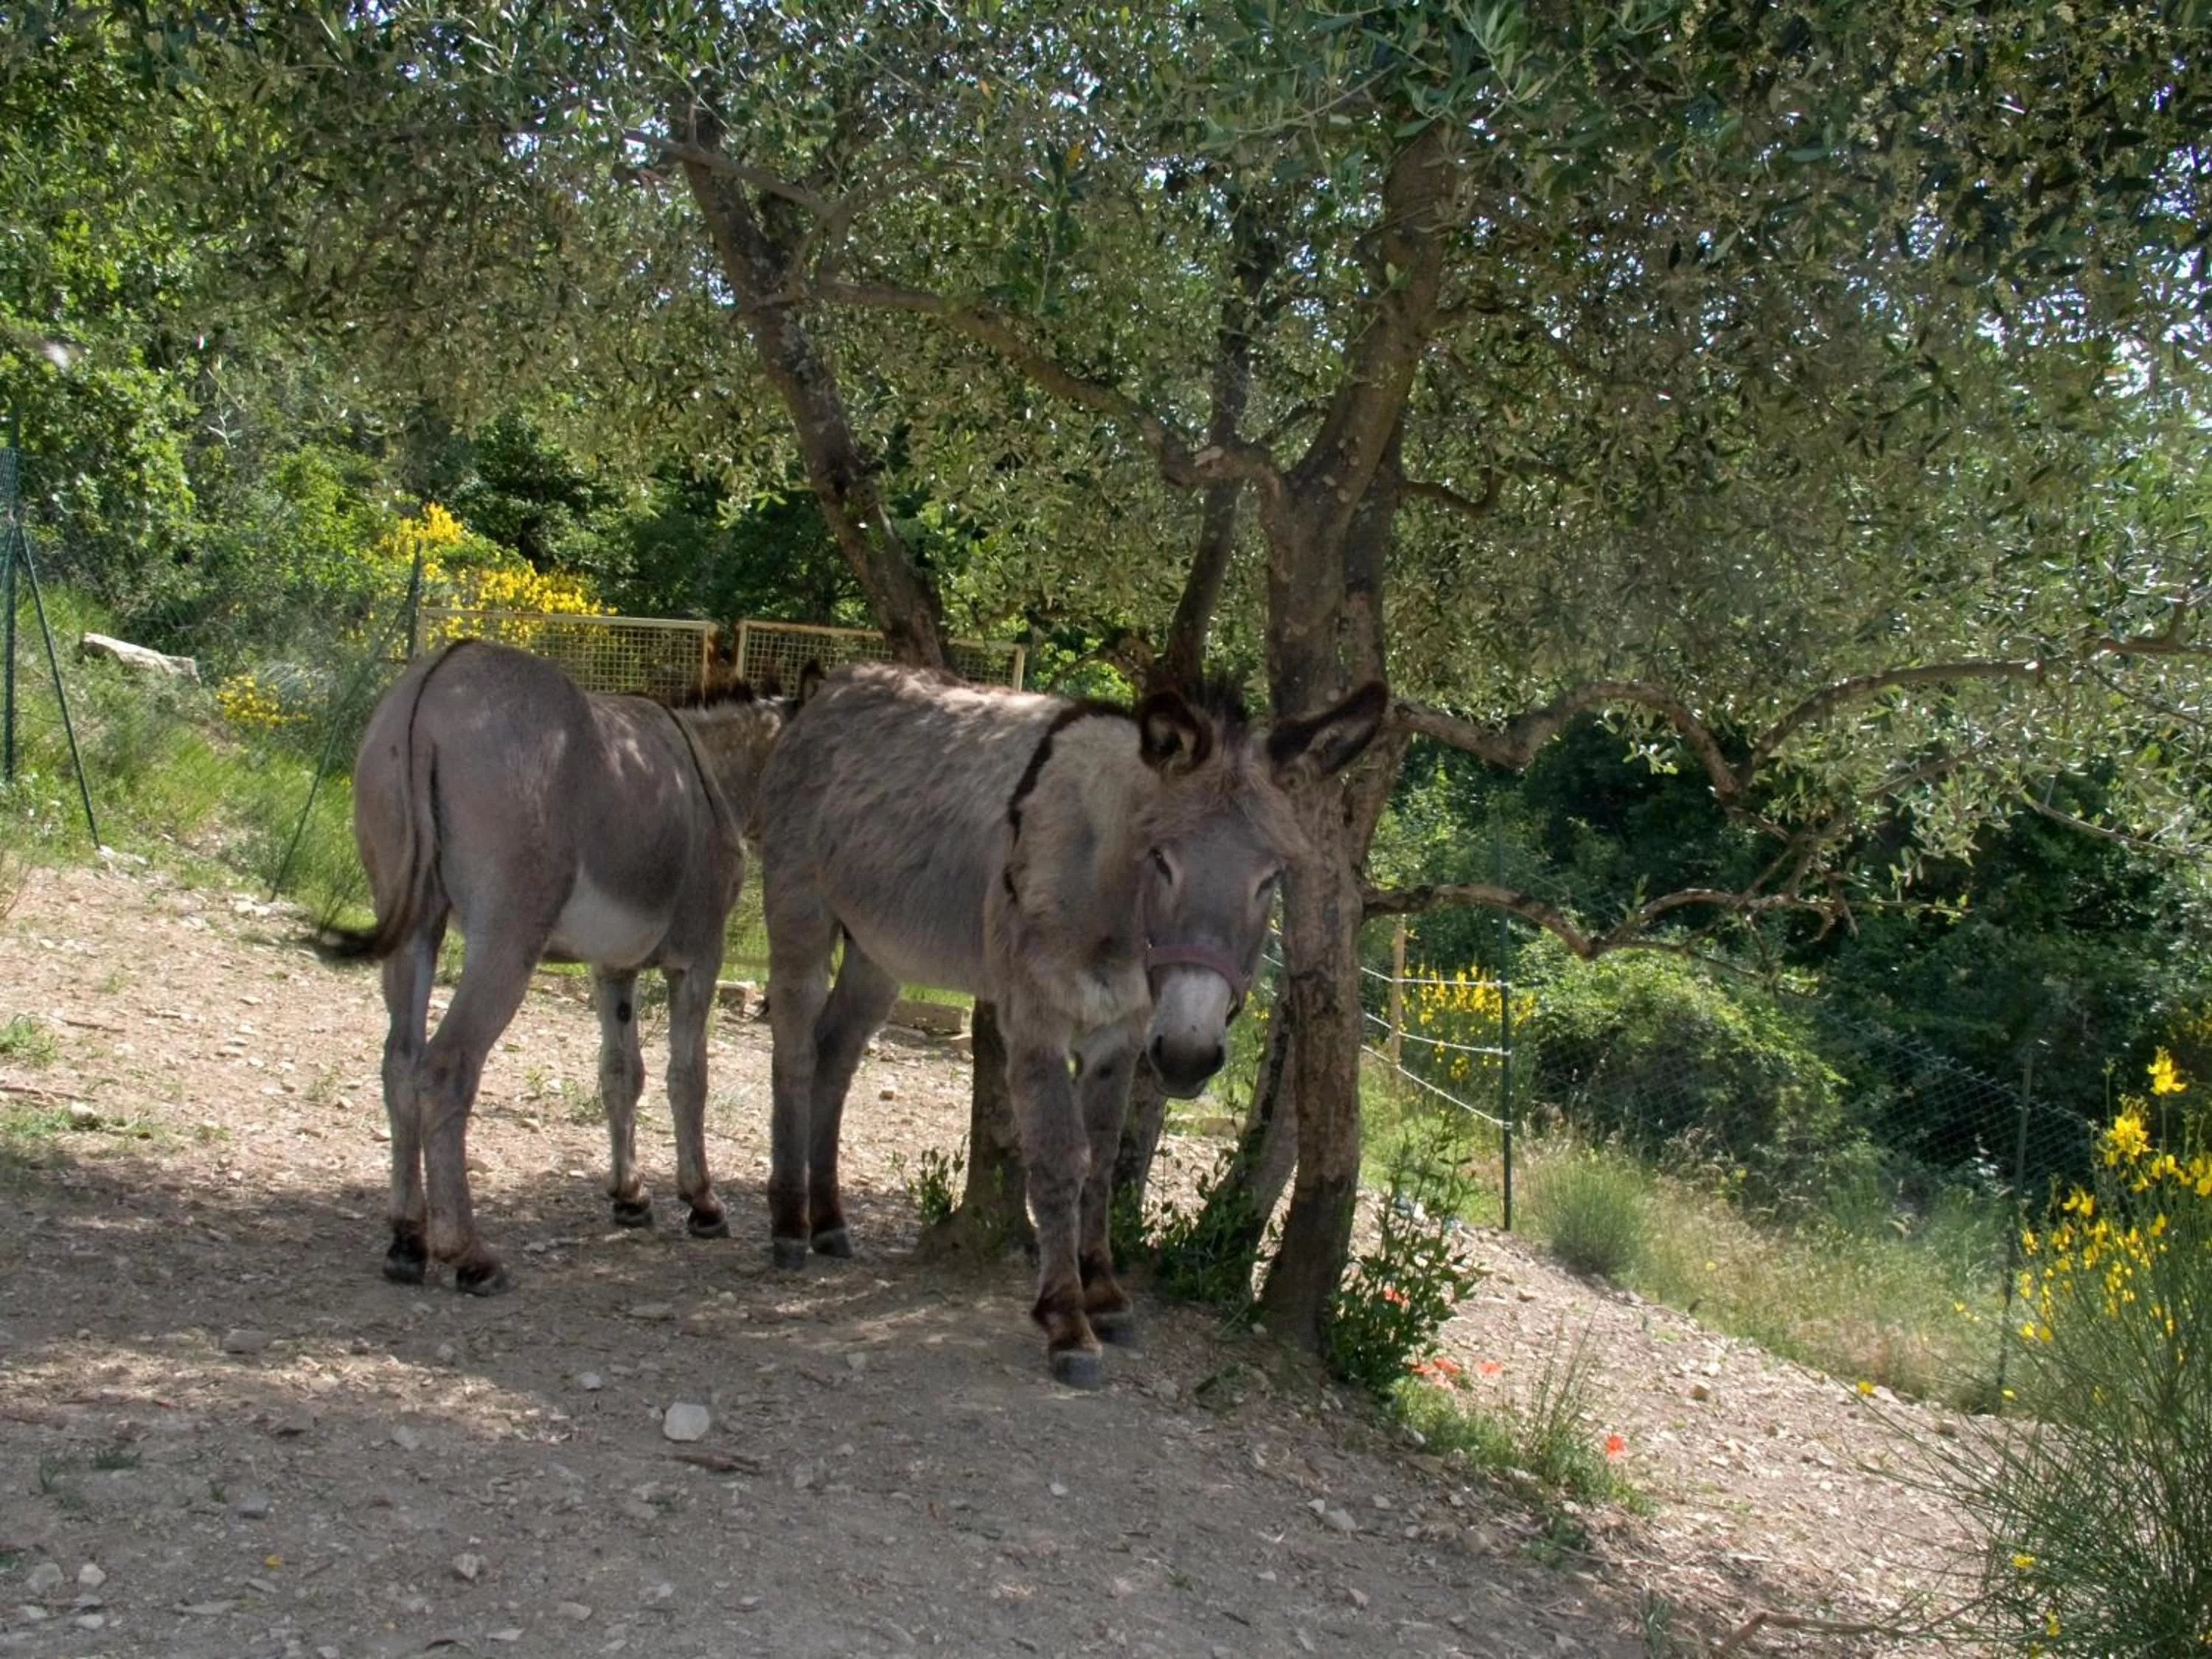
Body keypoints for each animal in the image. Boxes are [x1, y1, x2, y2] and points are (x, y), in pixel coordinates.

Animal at [337, 637, 788, 1293]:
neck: (719, 772)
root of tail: (440, 676)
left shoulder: (613, 967)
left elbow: (621, 1073)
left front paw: (630, 1198)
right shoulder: (698, 958)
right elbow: (689, 1077)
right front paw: (702, 1202)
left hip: (414, 918)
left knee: (399, 1061)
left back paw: (406, 1241)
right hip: (507, 936)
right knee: (444, 1069)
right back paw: (470, 1255)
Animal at [755, 662, 1386, 1384]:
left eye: (1270, 878)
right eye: (1162, 861)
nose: (1190, 1057)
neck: (1111, 895)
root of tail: (834, 686)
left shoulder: (1125, 1031)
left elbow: (1106, 1158)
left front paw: (1105, 1293)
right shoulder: (1037, 1019)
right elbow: (1061, 1157)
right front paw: (1065, 1319)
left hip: (878, 949)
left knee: (836, 1052)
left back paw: (829, 1222)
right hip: (801, 909)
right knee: (795, 1050)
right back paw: (788, 1225)